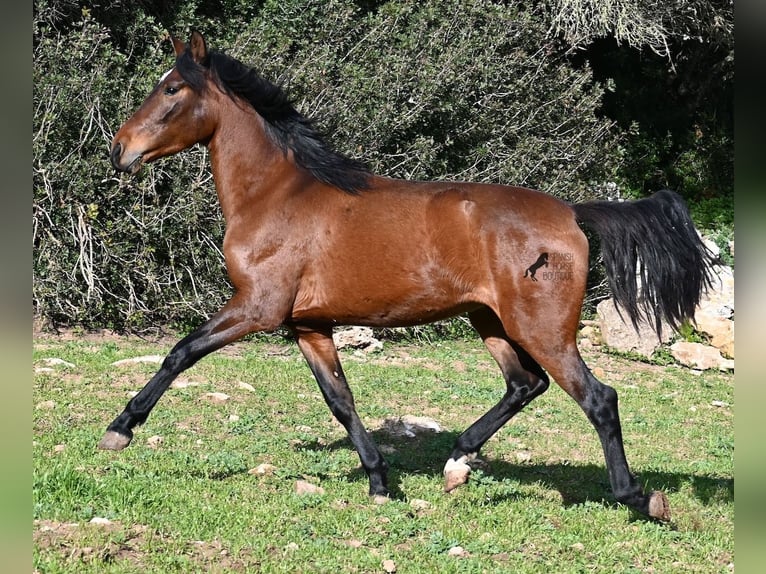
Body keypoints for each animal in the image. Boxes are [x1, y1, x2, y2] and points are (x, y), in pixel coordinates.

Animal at [103, 31, 720, 524]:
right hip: (490, 321)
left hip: (541, 329)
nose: (119, 149)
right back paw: (456, 464)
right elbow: (341, 400)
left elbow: (180, 352)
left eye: (172, 90)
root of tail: (571, 212)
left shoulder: (257, 307)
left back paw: (639, 497)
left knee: (598, 397)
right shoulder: (309, 326)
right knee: (525, 384)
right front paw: (380, 483)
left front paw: (120, 429)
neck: (278, 196)